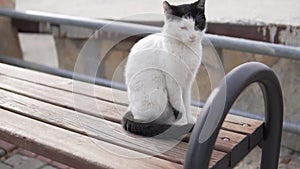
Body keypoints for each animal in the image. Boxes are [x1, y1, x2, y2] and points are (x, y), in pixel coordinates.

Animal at [122, 0, 206, 137]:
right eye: (183, 27)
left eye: (197, 24)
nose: (193, 36)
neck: (186, 50)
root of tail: (132, 109)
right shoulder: (173, 82)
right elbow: (179, 104)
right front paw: (183, 123)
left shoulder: (187, 82)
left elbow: (186, 102)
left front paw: (189, 119)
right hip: (158, 93)